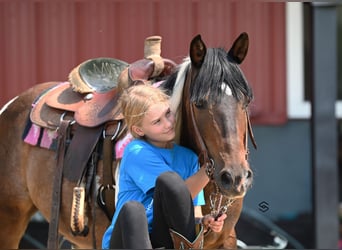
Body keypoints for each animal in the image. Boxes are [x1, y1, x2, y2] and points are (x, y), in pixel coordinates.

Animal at [0, 32, 255, 248]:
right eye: (199, 103)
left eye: (246, 101)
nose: (235, 178)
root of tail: (11, 105)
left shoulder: (225, 239)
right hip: (10, 220)